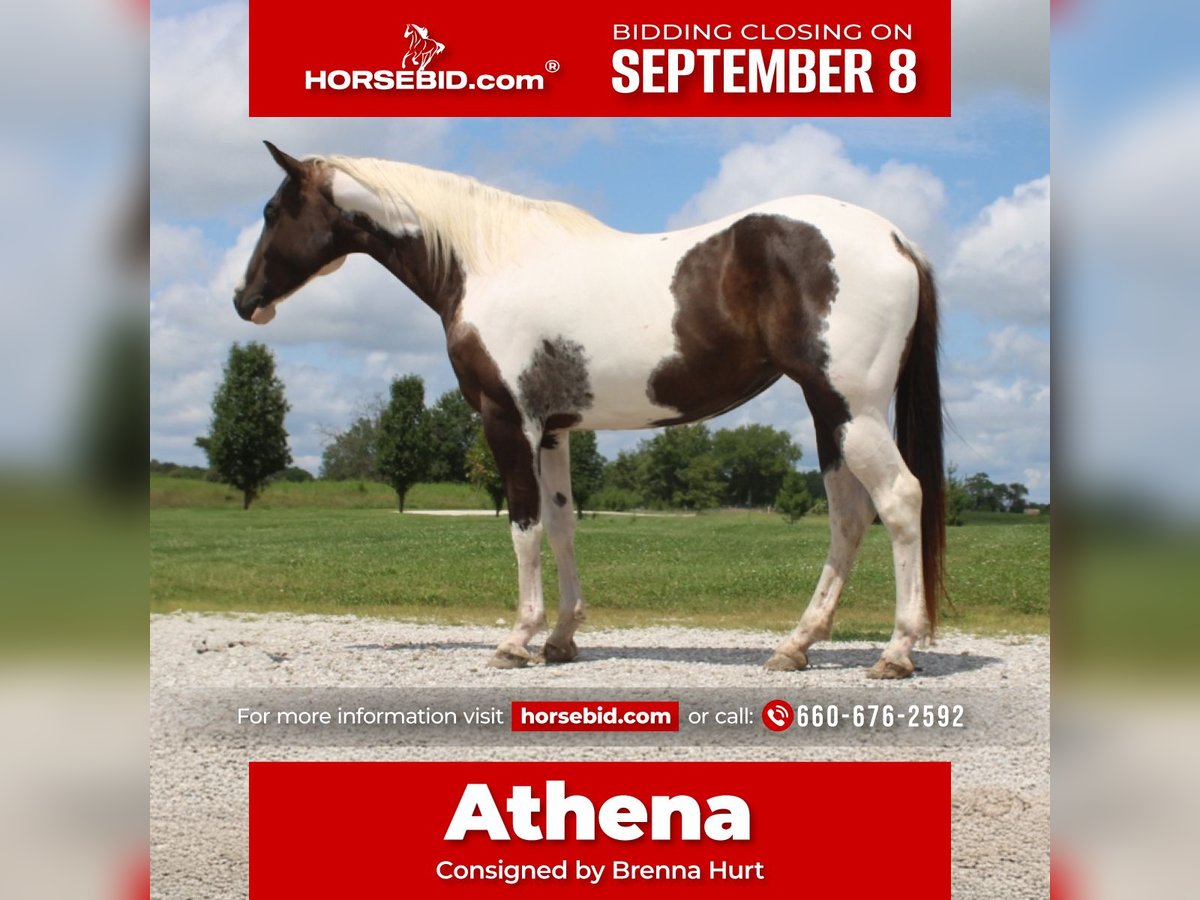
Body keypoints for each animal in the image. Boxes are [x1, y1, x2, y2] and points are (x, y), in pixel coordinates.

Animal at [234, 142, 946, 679]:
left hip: (851, 408)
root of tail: (896, 239)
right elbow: (561, 524)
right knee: (849, 517)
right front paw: (561, 640)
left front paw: (517, 640)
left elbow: (523, 527)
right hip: (831, 413)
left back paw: (895, 651)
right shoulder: (554, 432)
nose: (245, 300)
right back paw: (795, 646)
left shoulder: (507, 422)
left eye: (272, 209)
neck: (488, 261)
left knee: (899, 500)